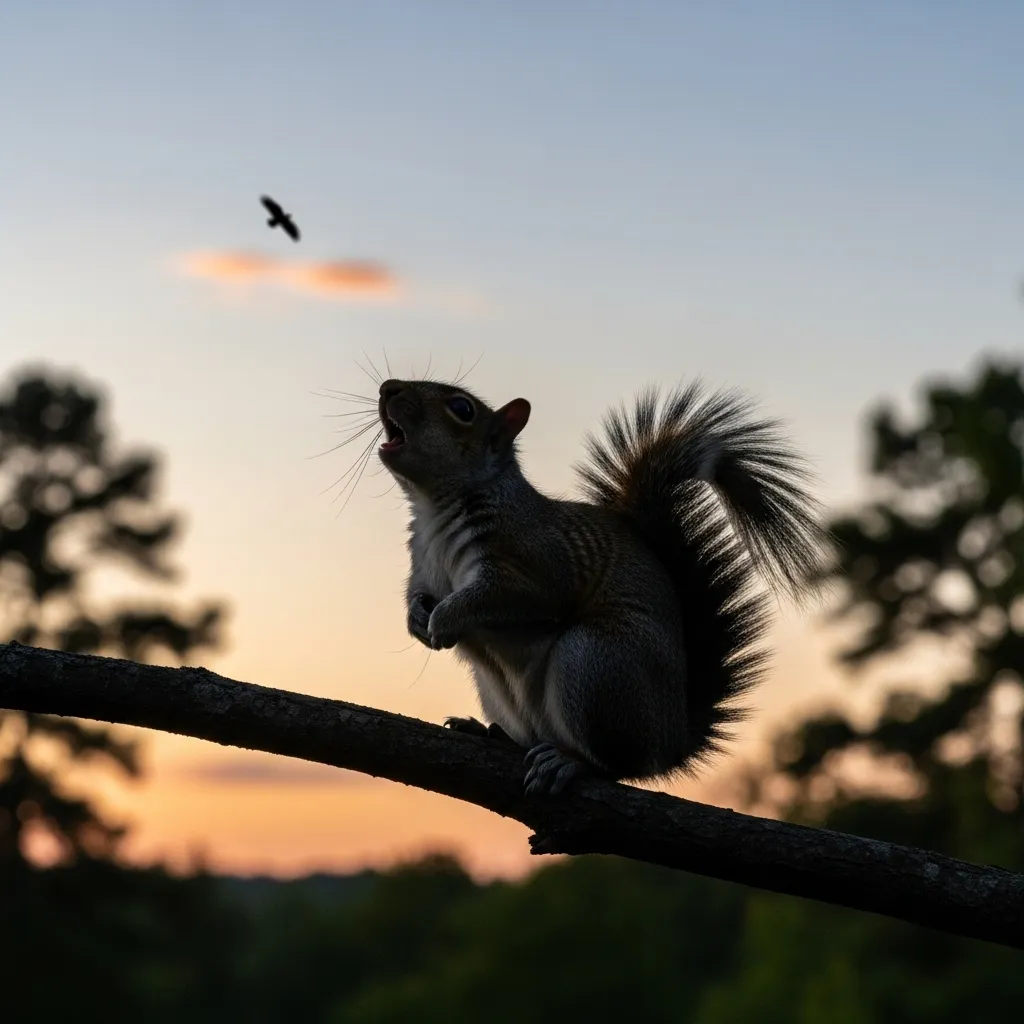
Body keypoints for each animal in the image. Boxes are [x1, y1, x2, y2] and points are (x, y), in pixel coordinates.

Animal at [376, 376, 823, 797]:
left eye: (462, 409)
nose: (387, 388)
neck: (436, 511)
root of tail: (671, 741)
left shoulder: (536, 561)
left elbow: (506, 596)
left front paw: (445, 618)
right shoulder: (424, 565)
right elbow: (417, 593)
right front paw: (416, 619)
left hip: (594, 664)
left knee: (616, 764)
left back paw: (571, 762)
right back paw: (490, 732)